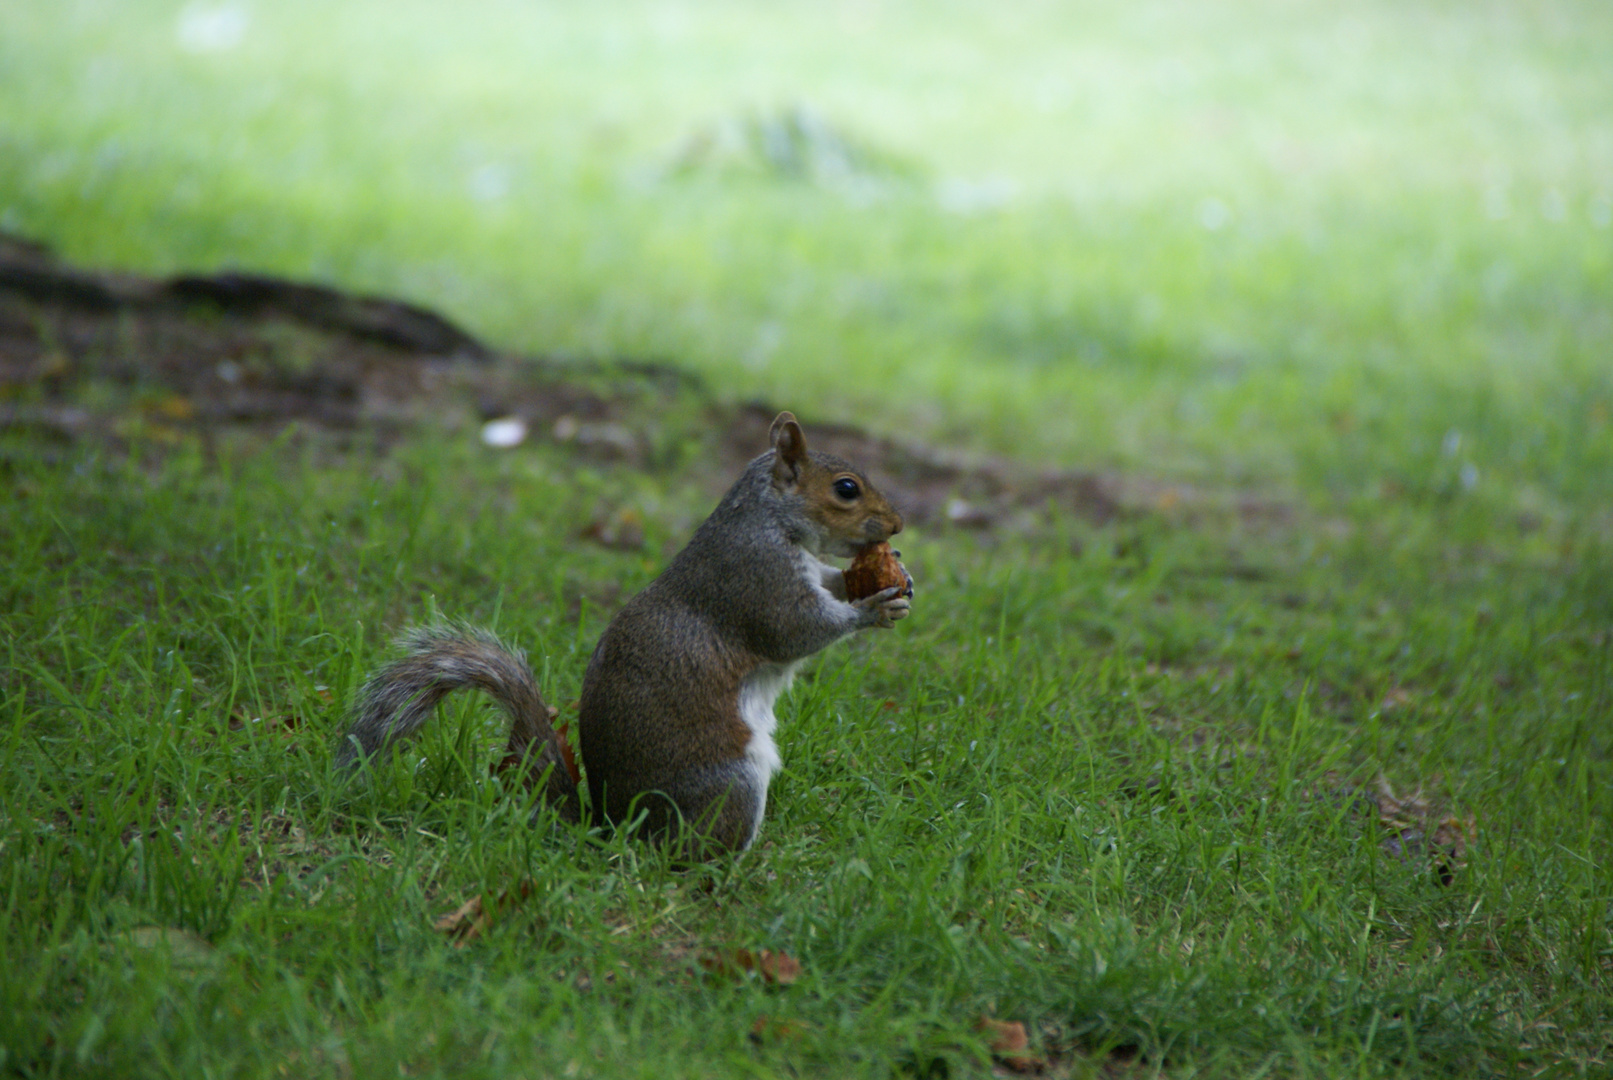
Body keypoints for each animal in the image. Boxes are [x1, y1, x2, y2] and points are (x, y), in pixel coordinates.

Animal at [333, 415, 916, 864]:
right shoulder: (756, 578)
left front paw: (894, 581)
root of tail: (615, 829)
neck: (769, 516)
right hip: (731, 782)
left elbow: (830, 580)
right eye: (846, 488)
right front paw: (870, 609)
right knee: (695, 855)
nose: (898, 525)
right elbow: (797, 629)